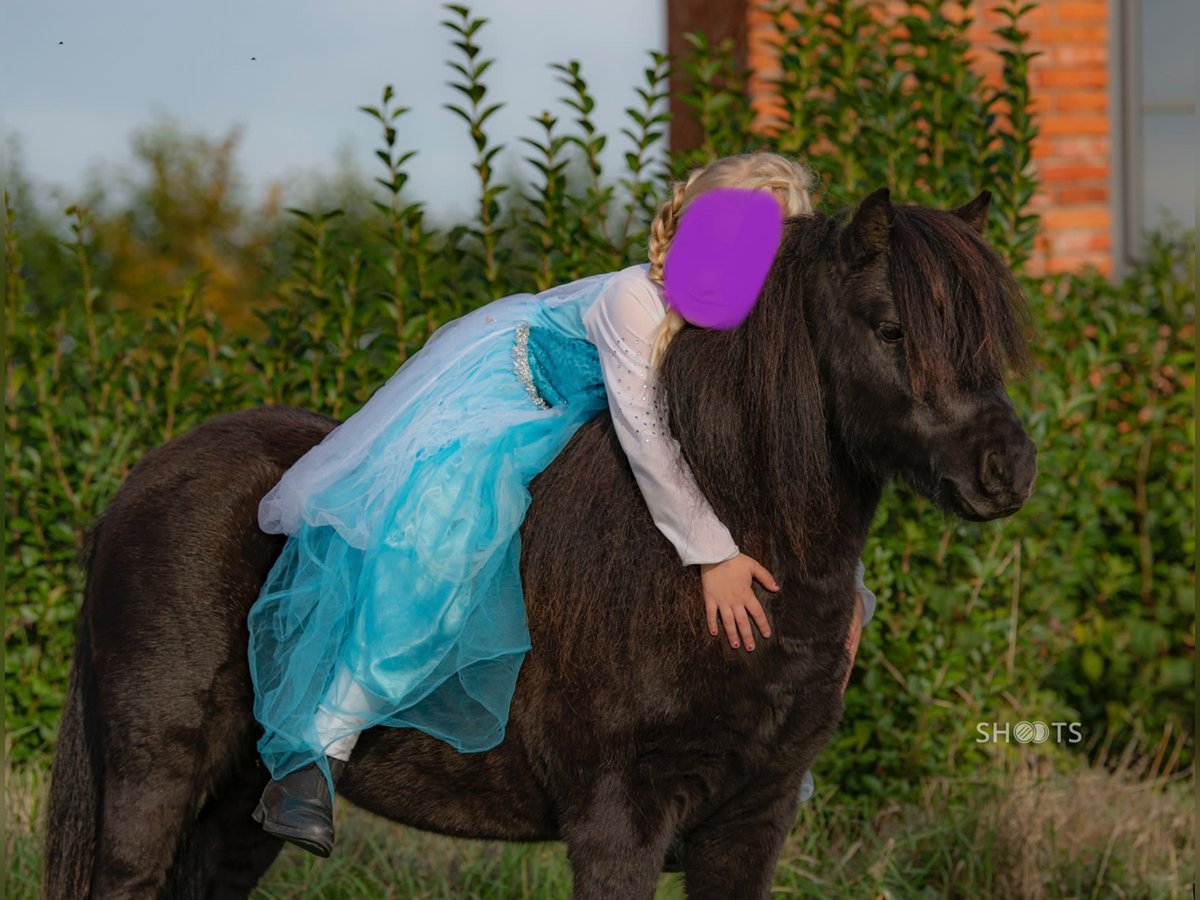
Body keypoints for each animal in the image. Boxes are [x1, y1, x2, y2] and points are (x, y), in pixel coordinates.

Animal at [43, 188, 1036, 899]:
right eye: (890, 326)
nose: (1009, 469)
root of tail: (138, 488)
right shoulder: (617, 821)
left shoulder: (748, 827)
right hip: (154, 772)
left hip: (234, 805)